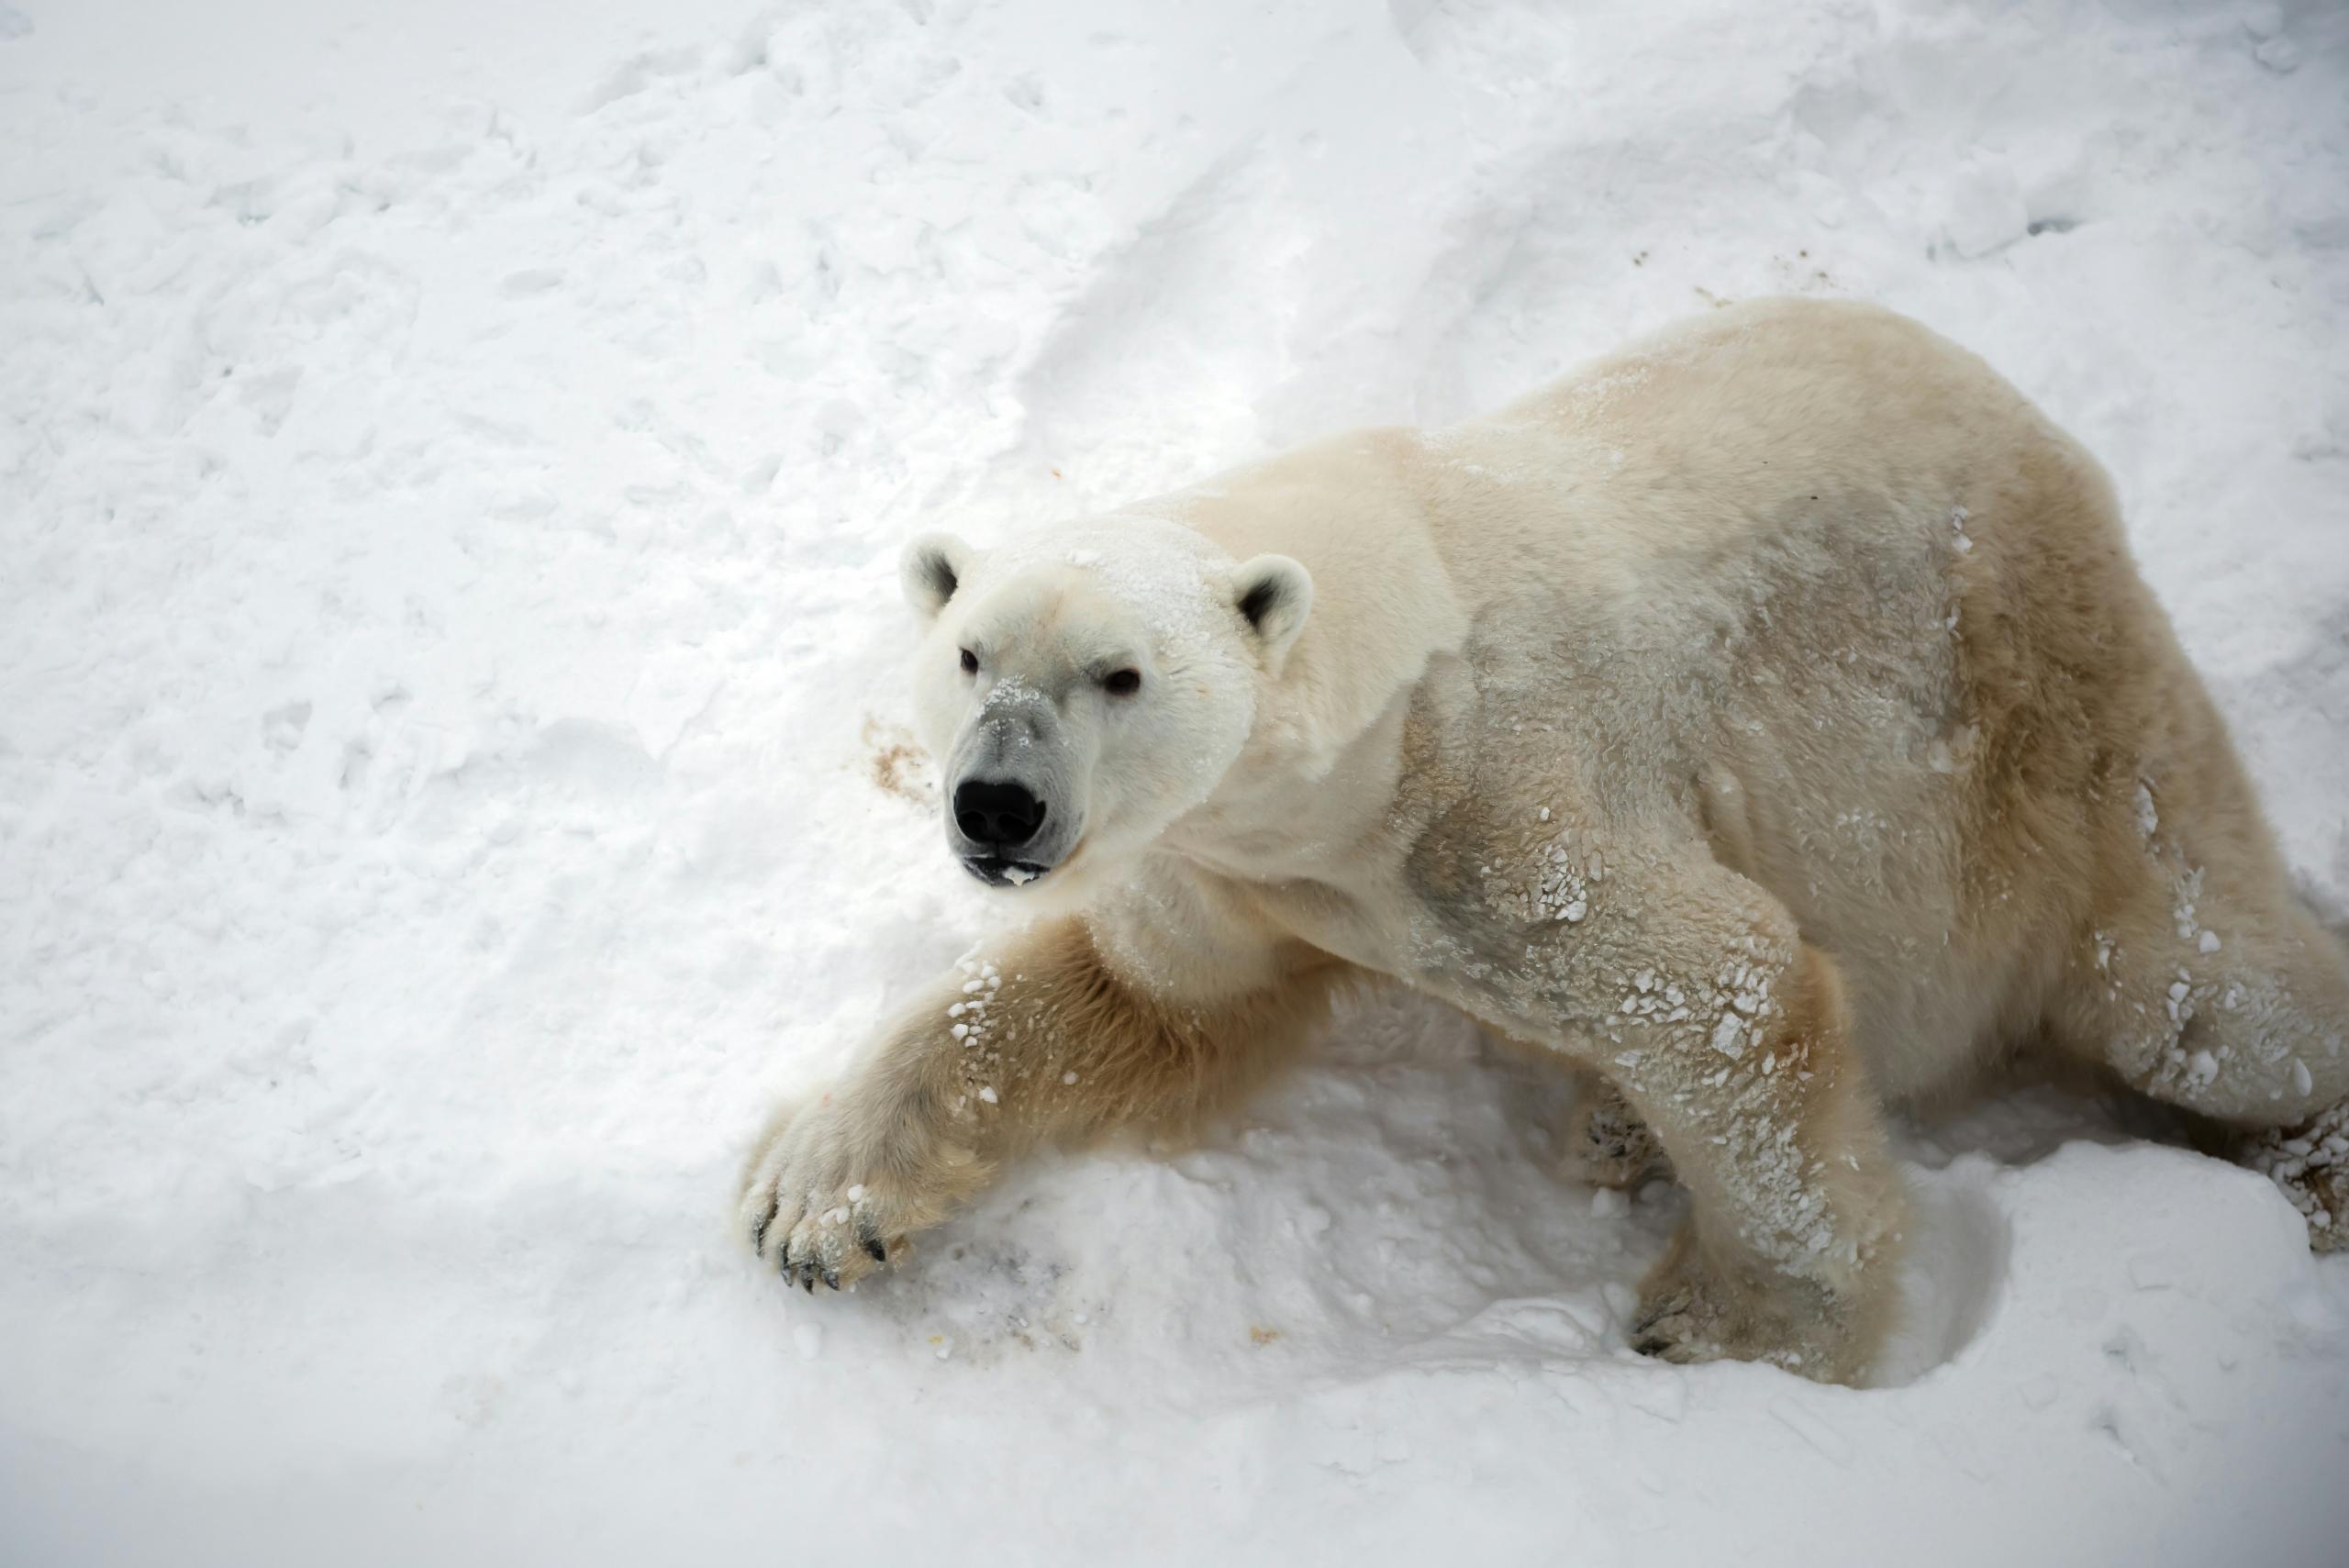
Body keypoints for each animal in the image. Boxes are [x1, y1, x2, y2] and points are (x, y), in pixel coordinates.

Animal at [739, 297, 2349, 1384]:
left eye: (1118, 675)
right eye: (969, 652)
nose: (996, 805)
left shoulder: (1514, 811)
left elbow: (1731, 991)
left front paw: (1729, 1324)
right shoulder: (1235, 871)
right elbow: (1138, 999)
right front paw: (812, 1204)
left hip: (2050, 730)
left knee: (2199, 997)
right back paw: (1616, 1123)